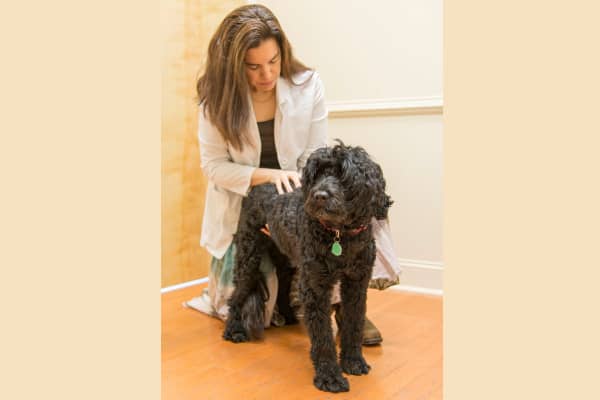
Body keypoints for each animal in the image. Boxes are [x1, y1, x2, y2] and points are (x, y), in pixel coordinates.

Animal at [223, 140, 392, 390]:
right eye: (316, 174)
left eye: (344, 175)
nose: (319, 195)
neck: (339, 235)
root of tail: (258, 188)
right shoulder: (316, 286)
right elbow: (322, 335)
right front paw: (329, 376)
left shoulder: (356, 283)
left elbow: (354, 323)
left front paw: (353, 361)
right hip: (248, 257)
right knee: (236, 296)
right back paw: (233, 330)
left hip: (287, 261)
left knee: (283, 285)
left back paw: (289, 317)